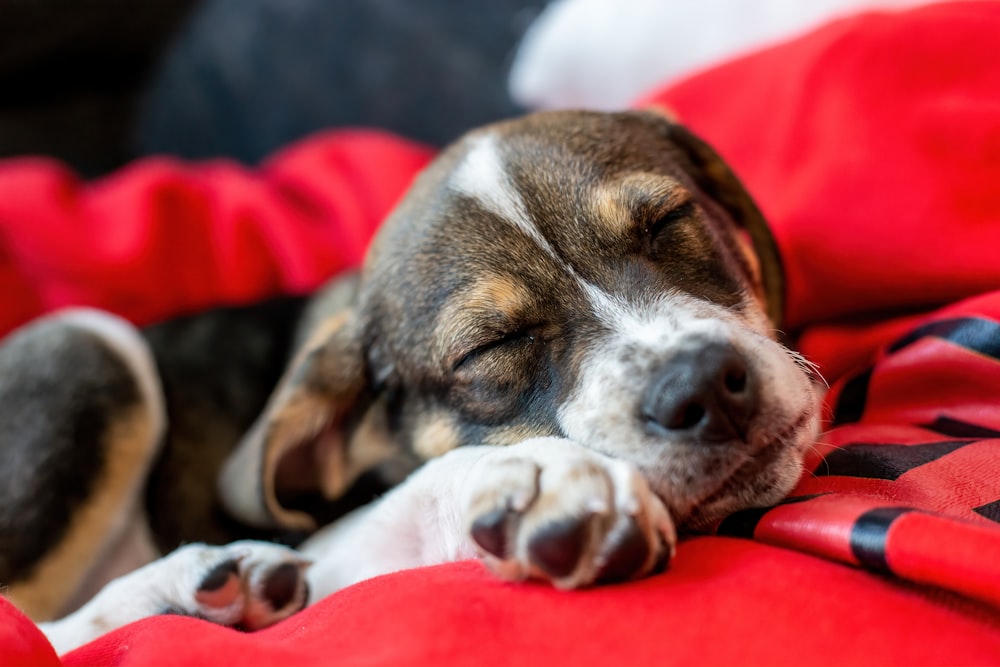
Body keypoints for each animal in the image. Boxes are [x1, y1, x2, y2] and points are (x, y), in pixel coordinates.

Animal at [0, 112, 820, 656]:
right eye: (491, 346)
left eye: (668, 222)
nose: (704, 389)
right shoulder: (327, 551)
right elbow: (427, 486)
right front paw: (538, 478)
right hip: (88, 346)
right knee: (38, 628)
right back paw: (192, 582)